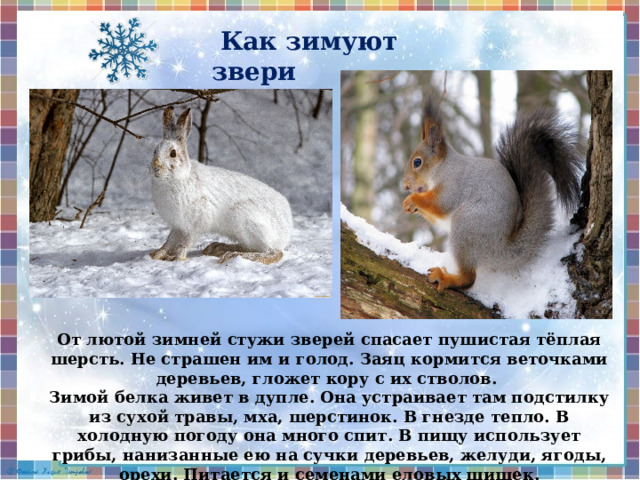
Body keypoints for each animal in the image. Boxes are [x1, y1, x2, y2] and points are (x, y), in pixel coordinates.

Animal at [149, 106, 293, 265]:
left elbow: (186, 242)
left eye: (173, 153)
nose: (155, 168)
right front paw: (157, 254)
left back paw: (232, 255)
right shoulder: (178, 226)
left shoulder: (197, 222)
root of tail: (287, 229)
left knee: (273, 252)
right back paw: (219, 248)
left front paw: (177, 257)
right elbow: (169, 240)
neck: (179, 177)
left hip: (246, 221)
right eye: (155, 151)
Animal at [402, 98, 582, 293]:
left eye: (417, 162)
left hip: (466, 227)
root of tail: (500, 249)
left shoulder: (453, 185)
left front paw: (412, 200)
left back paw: (446, 278)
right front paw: (409, 206)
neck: (442, 168)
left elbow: (441, 204)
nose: (405, 186)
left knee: (469, 278)